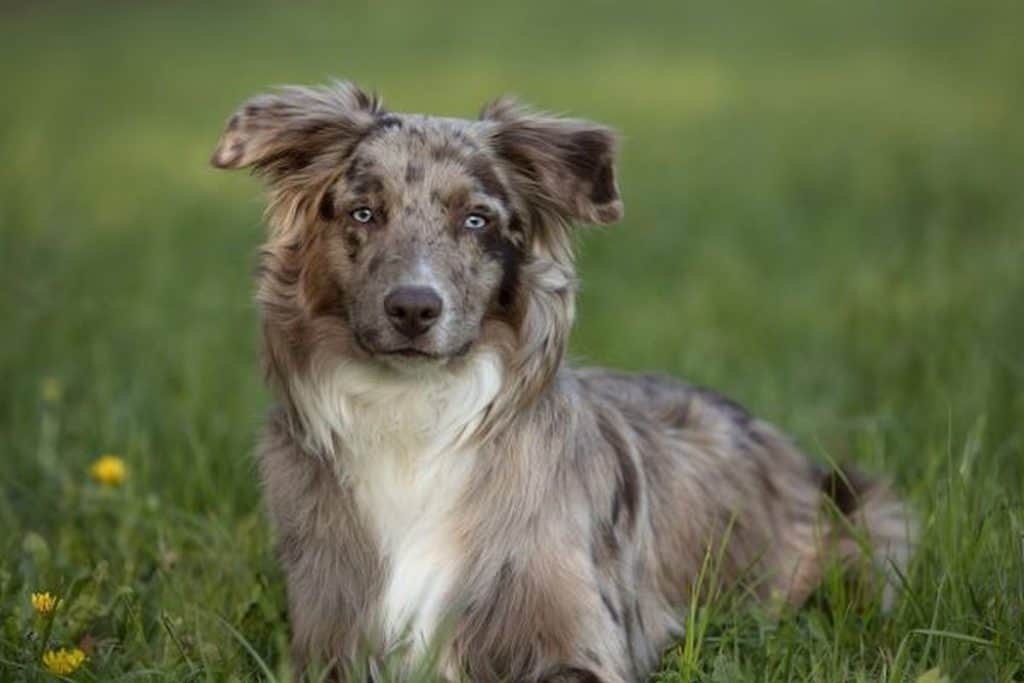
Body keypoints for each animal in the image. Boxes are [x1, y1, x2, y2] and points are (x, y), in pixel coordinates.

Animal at [211, 81, 917, 683]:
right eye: (363, 214)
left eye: (476, 220)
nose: (413, 308)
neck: (415, 413)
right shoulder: (329, 639)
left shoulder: (577, 634)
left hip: (870, 525)